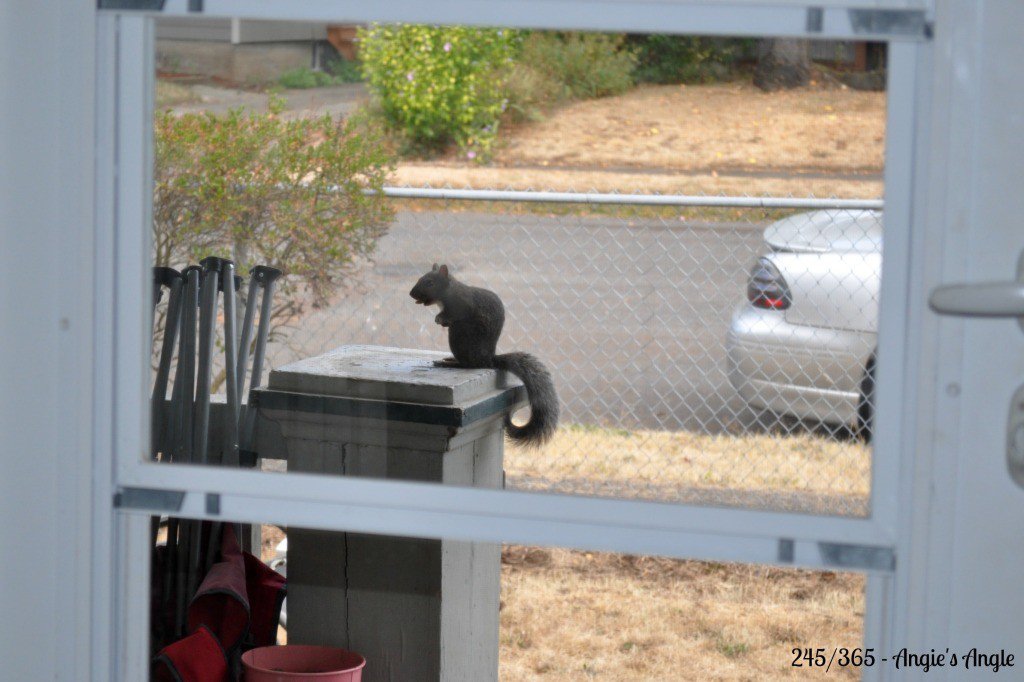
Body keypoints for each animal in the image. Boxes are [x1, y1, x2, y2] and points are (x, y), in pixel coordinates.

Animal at [409, 261, 561, 446]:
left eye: (430, 282)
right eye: (420, 278)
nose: (411, 293)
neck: (448, 292)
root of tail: (487, 359)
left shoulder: (462, 305)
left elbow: (452, 314)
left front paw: (439, 319)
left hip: (459, 335)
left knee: (468, 364)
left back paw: (450, 362)